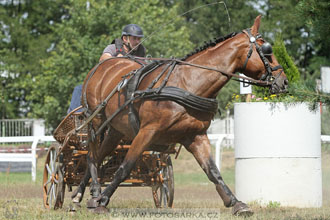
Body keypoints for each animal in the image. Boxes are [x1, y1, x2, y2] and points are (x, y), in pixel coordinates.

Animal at [71, 15, 286, 217]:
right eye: (267, 50)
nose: (283, 81)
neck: (188, 84)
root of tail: (101, 66)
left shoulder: (195, 136)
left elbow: (212, 171)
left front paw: (236, 203)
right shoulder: (147, 132)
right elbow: (125, 166)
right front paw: (103, 200)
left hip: (116, 130)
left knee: (99, 155)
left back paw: (81, 195)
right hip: (96, 121)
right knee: (91, 155)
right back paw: (94, 193)